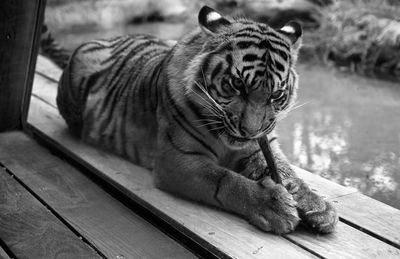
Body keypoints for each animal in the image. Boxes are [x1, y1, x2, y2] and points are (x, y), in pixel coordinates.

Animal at [48, 5, 340, 236]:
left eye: (276, 95)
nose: (249, 132)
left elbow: (286, 171)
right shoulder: (177, 161)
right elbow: (226, 181)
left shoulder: (258, 147)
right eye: (237, 84)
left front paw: (317, 204)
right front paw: (272, 205)